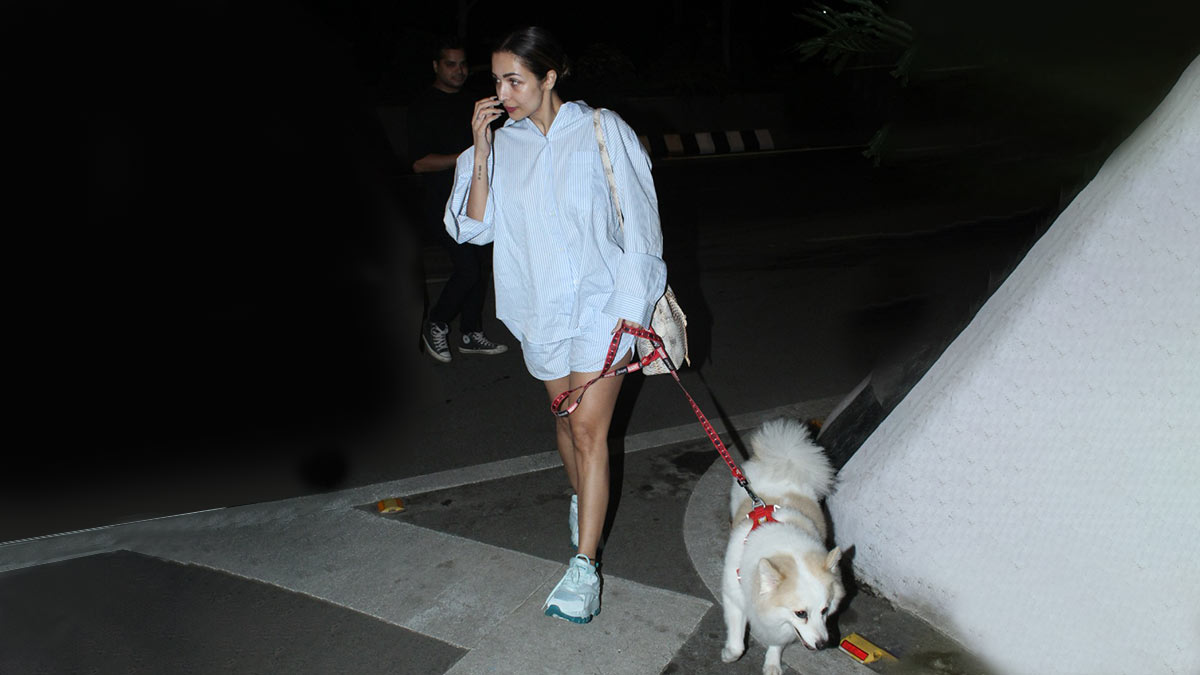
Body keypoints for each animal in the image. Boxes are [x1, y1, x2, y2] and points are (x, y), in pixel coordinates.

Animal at [720, 417, 845, 675]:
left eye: (825, 610)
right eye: (801, 613)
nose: (822, 644)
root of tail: (785, 460)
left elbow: (777, 642)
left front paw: (772, 663)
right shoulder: (733, 597)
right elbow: (738, 645)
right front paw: (729, 654)